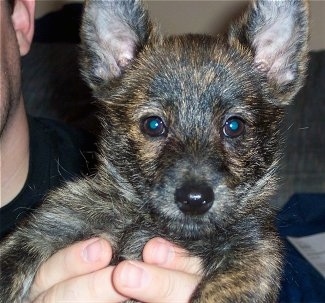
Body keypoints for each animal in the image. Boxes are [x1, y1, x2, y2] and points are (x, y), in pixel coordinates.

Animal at [0, 1, 308, 302]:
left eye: (234, 126)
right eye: (153, 125)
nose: (194, 199)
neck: (151, 224)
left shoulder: (254, 253)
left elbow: (225, 290)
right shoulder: (56, 221)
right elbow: (13, 256)